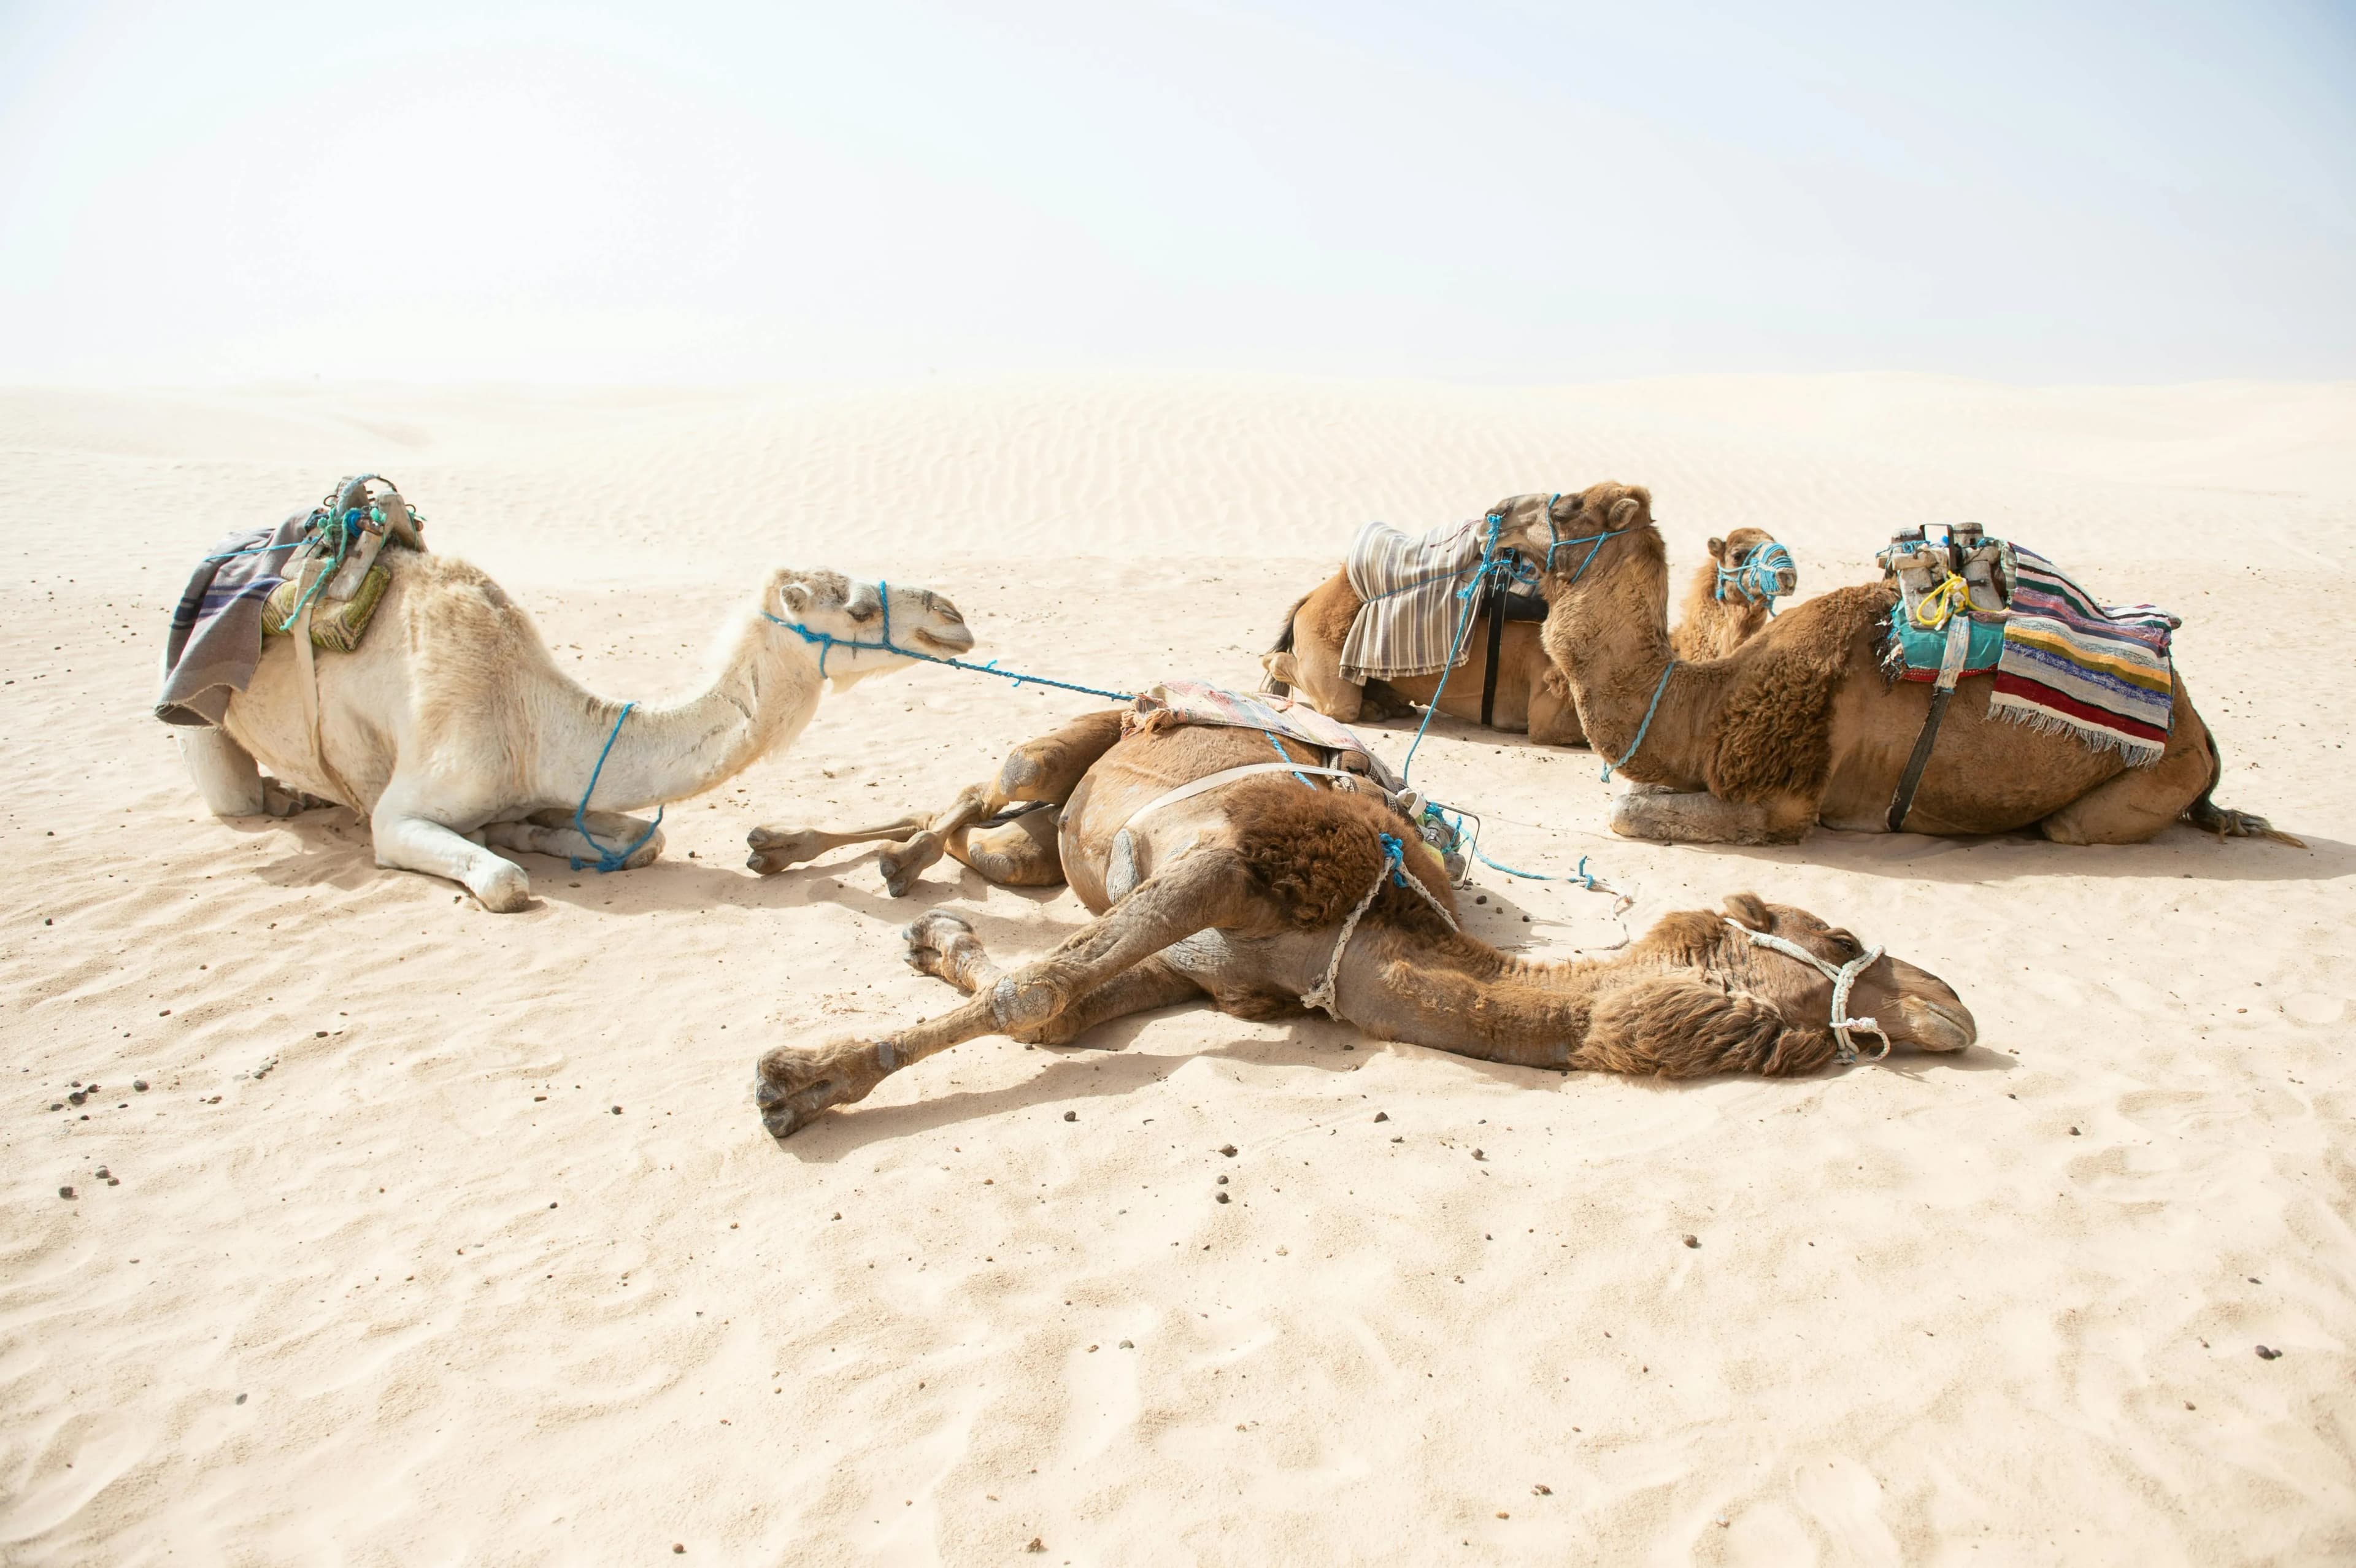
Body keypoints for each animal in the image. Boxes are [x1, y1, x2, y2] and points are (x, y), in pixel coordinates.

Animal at [180, 554, 975, 910]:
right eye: (858, 611)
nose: (955, 614)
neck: (529, 715)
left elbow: (646, 840)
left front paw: (524, 831)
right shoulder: (402, 811)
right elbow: (502, 883)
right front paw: (508, 848)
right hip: (199, 713)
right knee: (236, 793)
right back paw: (282, 798)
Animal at [744, 712, 1974, 1138]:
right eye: (1827, 937)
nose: (1955, 1002)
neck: (1375, 929)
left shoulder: (1208, 971)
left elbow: (1055, 1008)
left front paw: (935, 948)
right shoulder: (1226, 870)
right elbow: (1033, 990)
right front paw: (796, 1083)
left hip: (1052, 837)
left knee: (984, 834)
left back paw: (863, 868)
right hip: (1070, 744)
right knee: (983, 782)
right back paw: (830, 857)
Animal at [1259, 517, 1795, 745]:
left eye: (1777, 540)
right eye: (1739, 553)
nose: (1789, 574)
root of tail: (1313, 597)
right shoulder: (1550, 705)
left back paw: (1387, 704)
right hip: (1328, 662)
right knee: (1308, 680)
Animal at [1436, 484, 2288, 846]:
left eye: (1566, 506)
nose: (1497, 512)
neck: (1707, 695)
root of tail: (2200, 731)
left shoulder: (1783, 799)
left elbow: (1626, 812)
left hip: (2152, 776)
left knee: (2069, 825)